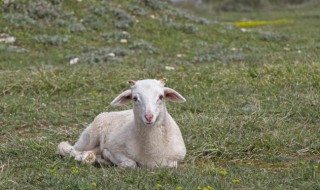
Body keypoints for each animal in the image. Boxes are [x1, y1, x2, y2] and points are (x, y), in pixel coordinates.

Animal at [58, 78, 188, 168]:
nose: (149, 117)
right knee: (68, 149)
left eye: (161, 97)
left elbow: (170, 165)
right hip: (89, 136)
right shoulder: (115, 148)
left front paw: (104, 159)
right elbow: (130, 164)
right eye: (135, 98)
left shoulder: (176, 158)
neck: (151, 152)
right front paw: (109, 158)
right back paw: (86, 157)